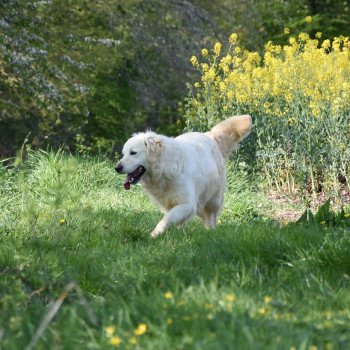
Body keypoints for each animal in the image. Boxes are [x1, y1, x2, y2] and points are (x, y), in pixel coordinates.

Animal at [115, 115, 252, 238]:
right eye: (123, 154)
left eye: (133, 153)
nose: (117, 168)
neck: (163, 167)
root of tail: (210, 136)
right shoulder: (170, 204)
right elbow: (172, 218)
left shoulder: (188, 204)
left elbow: (167, 218)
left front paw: (154, 234)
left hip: (212, 199)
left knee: (210, 217)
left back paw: (210, 232)